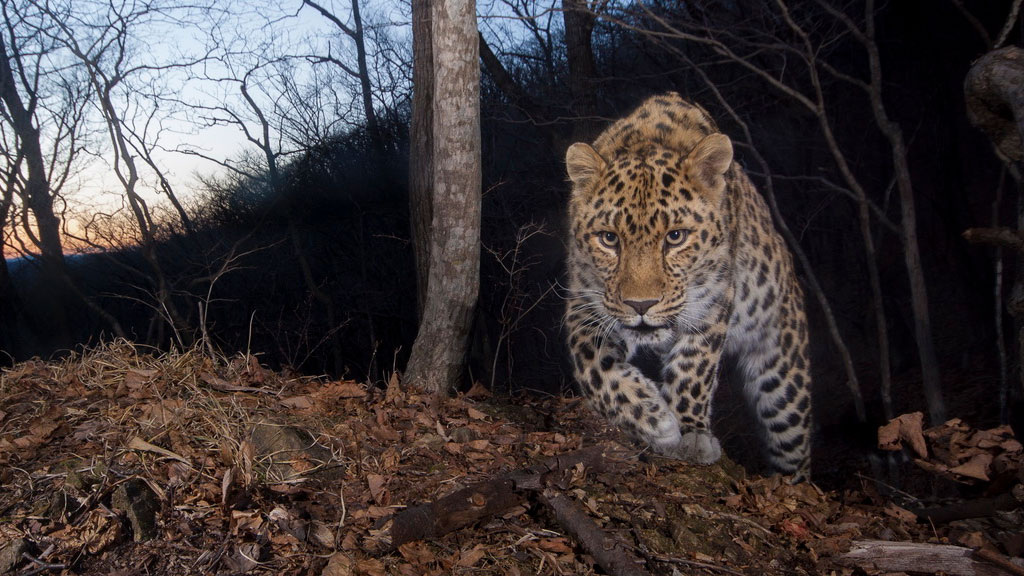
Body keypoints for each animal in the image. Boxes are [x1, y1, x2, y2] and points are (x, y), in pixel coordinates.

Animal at [565, 91, 811, 477]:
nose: (641, 305)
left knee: (794, 448)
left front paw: (689, 433)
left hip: (784, 377)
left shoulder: (712, 305)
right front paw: (651, 417)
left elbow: (693, 368)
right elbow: (594, 366)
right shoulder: (584, 305)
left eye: (676, 237)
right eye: (609, 239)